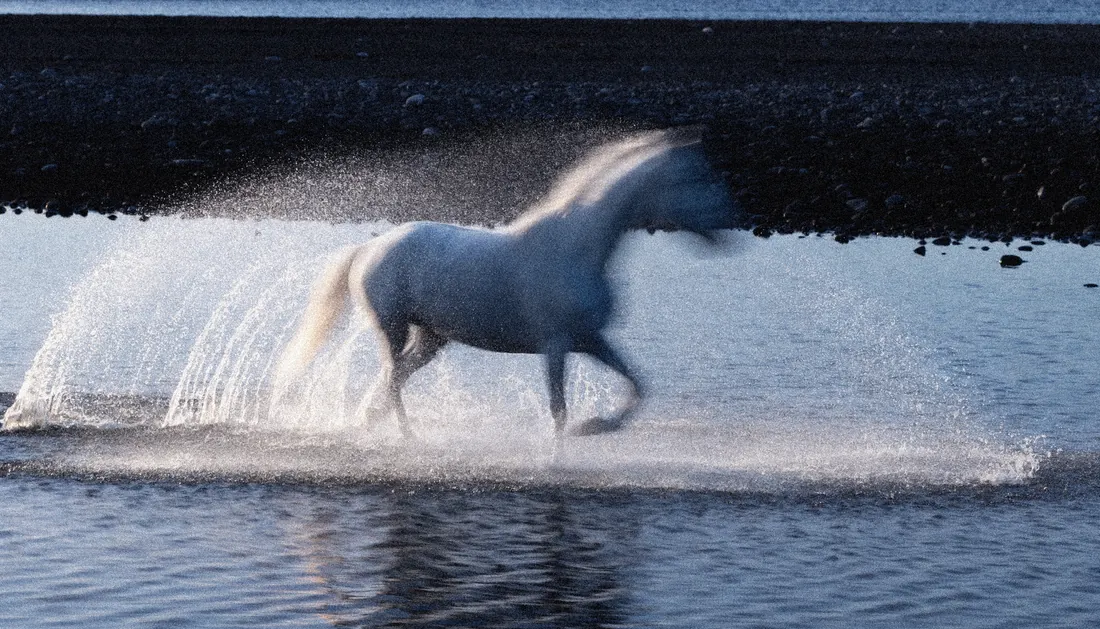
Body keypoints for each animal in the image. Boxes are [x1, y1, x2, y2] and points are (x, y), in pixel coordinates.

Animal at [275, 128, 740, 439]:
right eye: (696, 178)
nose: (732, 226)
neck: (577, 248)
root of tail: (367, 249)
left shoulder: (590, 339)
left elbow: (638, 386)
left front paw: (595, 427)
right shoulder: (556, 344)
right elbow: (558, 410)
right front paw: (560, 456)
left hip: (431, 339)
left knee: (394, 380)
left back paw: (375, 426)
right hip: (392, 327)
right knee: (391, 383)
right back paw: (408, 440)